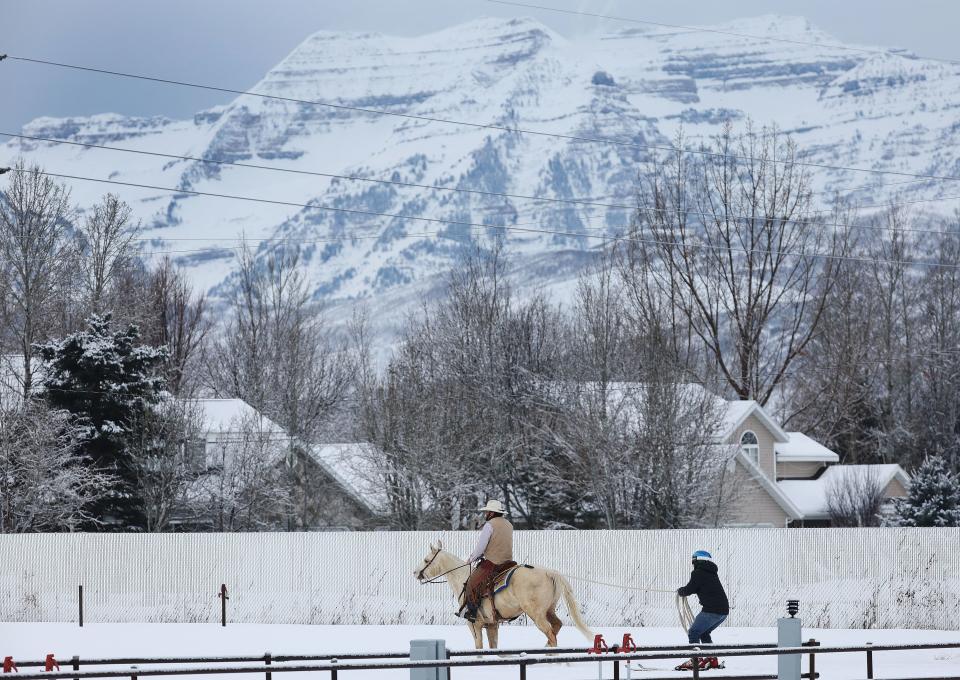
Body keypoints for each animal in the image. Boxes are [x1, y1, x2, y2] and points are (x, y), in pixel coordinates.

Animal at [416, 540, 596, 648]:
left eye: (426, 560)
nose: (415, 573)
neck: (463, 578)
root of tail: (550, 572)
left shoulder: (474, 625)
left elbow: (479, 648)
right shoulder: (492, 625)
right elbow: (493, 647)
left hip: (537, 615)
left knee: (551, 634)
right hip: (549, 610)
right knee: (557, 626)